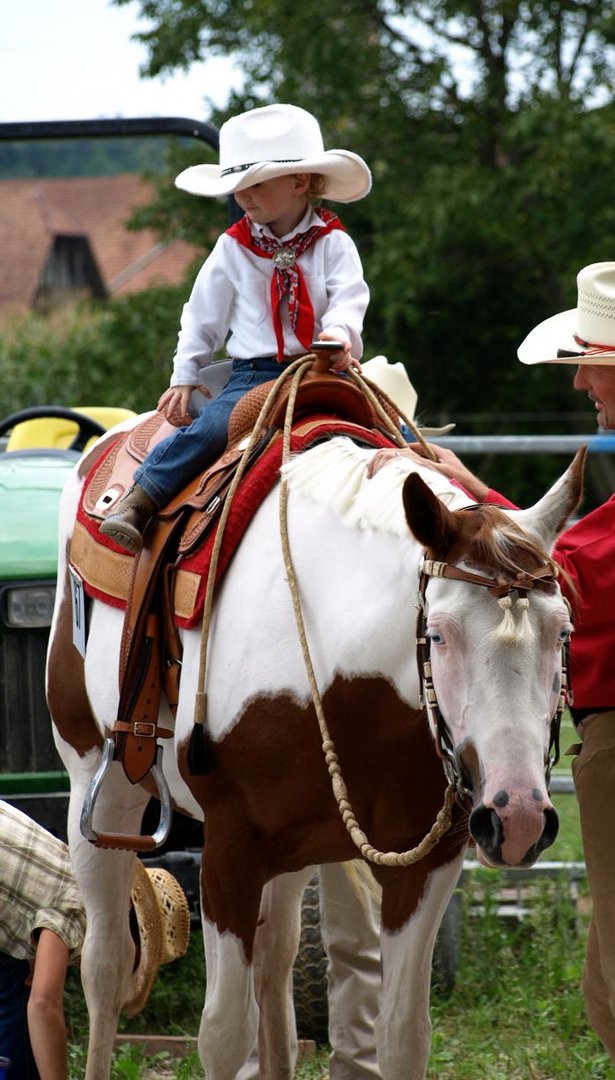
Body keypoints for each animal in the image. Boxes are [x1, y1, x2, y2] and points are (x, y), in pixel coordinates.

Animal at [46, 423, 579, 1080]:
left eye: (562, 632)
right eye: (439, 635)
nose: (519, 816)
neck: (342, 673)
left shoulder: (426, 863)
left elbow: (403, 1036)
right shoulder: (229, 854)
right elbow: (223, 1035)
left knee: (276, 966)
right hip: (98, 788)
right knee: (107, 964)